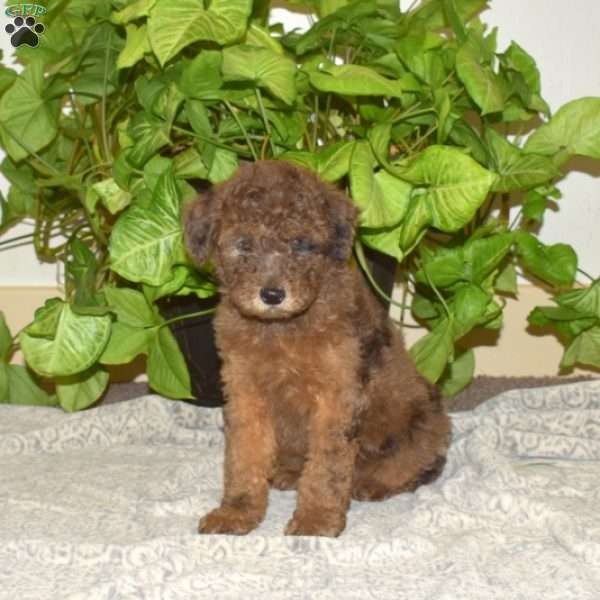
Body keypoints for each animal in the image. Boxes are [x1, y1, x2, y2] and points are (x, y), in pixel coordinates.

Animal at [183, 161, 450, 540]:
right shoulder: (244, 391)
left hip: (425, 423)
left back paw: (371, 484)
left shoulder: (336, 398)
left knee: (411, 465)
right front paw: (237, 512)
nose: (272, 294)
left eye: (302, 244)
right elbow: (243, 457)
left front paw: (317, 519)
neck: (281, 328)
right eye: (243, 244)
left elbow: (328, 466)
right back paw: (288, 473)